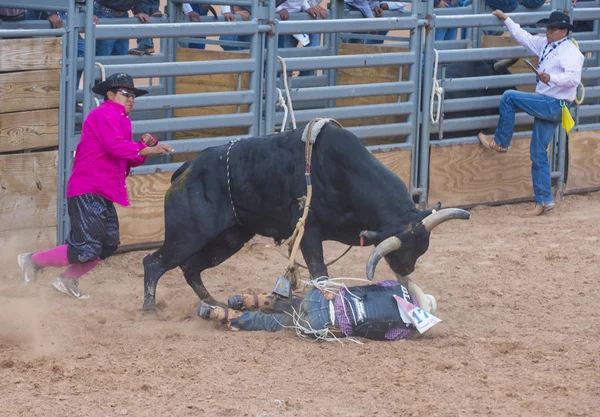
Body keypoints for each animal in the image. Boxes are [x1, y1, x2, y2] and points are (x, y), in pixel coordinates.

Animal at [141, 120, 468, 308]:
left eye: (417, 253)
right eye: (404, 254)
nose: (408, 268)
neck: (340, 169)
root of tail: (184, 170)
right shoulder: (309, 233)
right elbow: (320, 273)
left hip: (228, 239)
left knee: (190, 268)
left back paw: (213, 303)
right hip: (188, 236)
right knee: (154, 263)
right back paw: (150, 309)